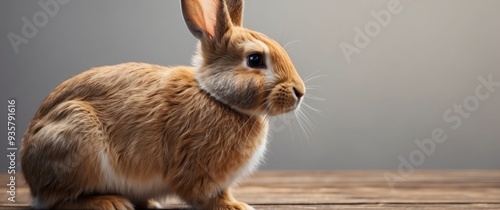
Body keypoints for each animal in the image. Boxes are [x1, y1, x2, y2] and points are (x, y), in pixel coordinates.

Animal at [20, 0, 304, 209]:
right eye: (255, 59)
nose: (299, 92)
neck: (216, 97)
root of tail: (28, 168)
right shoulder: (197, 170)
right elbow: (207, 196)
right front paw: (236, 206)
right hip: (75, 136)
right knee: (57, 201)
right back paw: (109, 202)